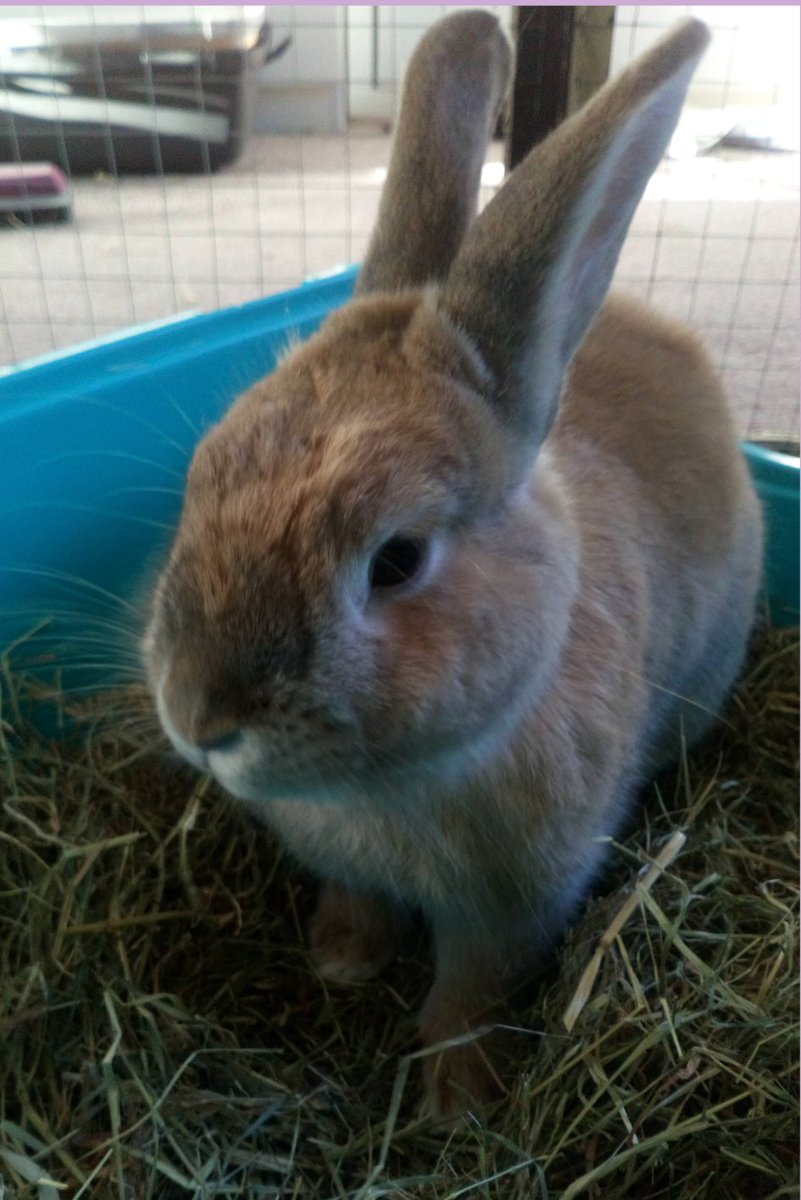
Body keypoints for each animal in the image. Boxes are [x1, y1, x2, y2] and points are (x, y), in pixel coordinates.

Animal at [143, 11, 763, 1118]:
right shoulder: (356, 867)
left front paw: (456, 1095)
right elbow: (359, 904)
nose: (199, 720)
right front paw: (342, 961)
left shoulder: (517, 906)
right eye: (206, 471)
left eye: (396, 559)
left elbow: (472, 985)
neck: (390, 788)